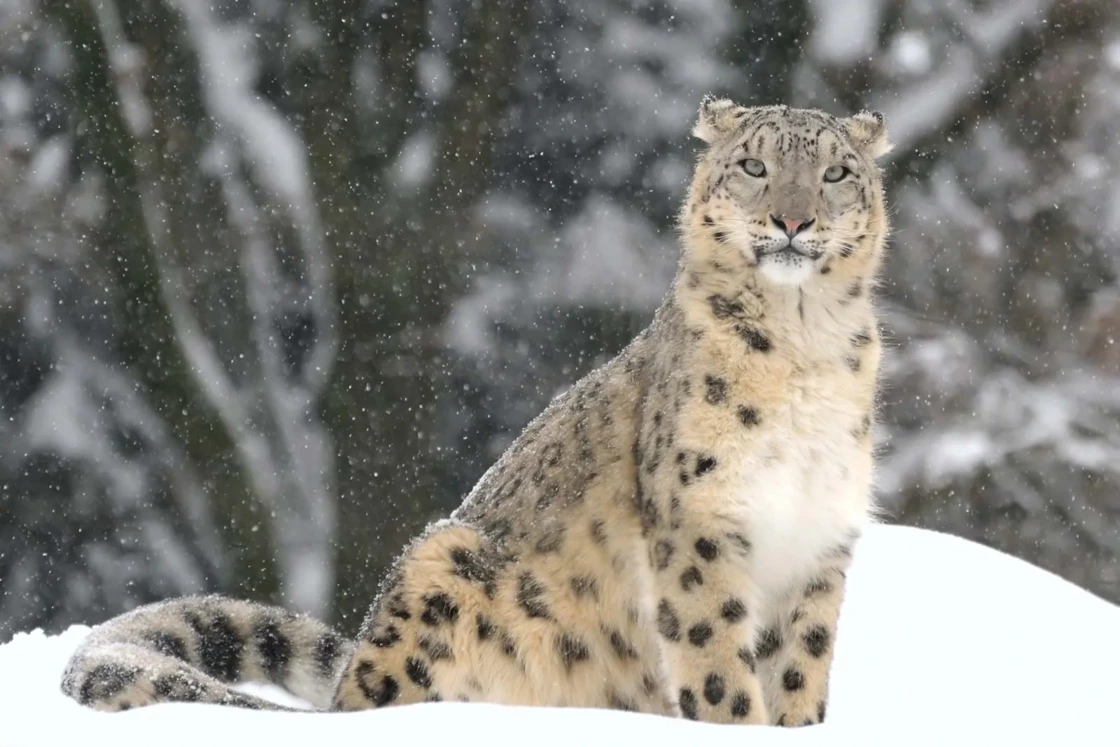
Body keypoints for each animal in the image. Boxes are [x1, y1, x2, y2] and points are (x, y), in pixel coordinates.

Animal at [61, 96, 891, 725]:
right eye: (754, 166)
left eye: (835, 172)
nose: (793, 221)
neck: (803, 344)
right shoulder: (701, 519)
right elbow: (717, 655)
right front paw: (736, 720)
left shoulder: (820, 539)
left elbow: (800, 664)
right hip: (445, 564)